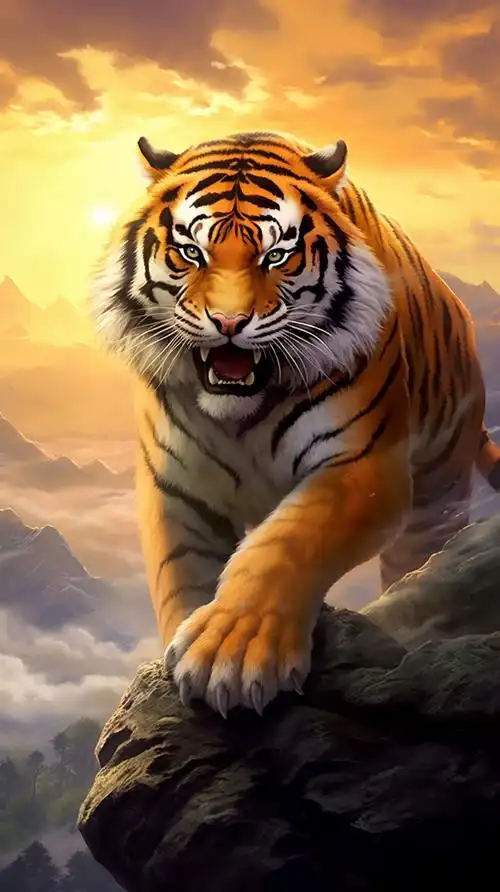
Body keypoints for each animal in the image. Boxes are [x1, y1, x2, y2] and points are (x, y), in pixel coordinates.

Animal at [89, 129, 500, 717]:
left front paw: (230, 656)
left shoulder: (362, 465)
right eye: (192, 252)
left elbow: (284, 546)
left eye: (276, 255)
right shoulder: (176, 485)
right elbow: (183, 577)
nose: (229, 323)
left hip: (435, 493)